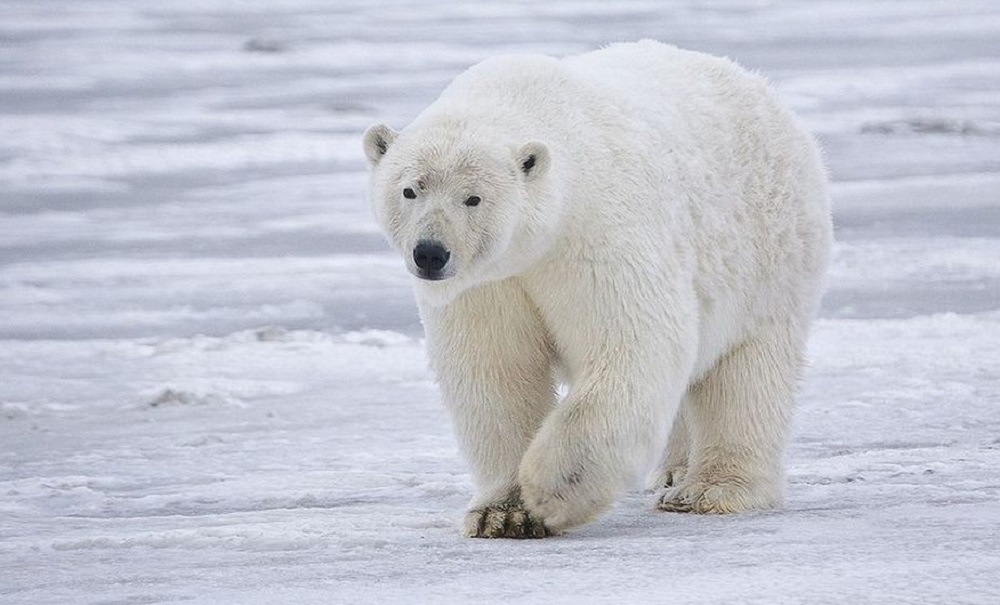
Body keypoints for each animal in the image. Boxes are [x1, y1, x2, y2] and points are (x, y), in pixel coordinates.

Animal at [364, 41, 832, 536]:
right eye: (409, 190)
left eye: (473, 198)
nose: (430, 253)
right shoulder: (488, 282)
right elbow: (496, 371)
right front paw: (502, 513)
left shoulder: (595, 232)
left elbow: (633, 343)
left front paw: (551, 491)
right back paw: (673, 470)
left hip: (769, 253)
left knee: (746, 374)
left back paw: (709, 490)